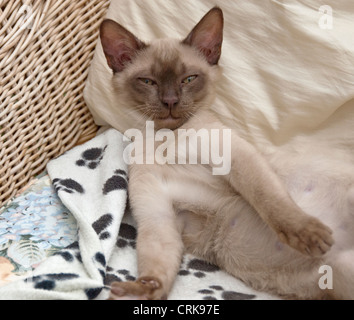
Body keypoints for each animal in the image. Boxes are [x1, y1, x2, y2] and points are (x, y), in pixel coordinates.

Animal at [99, 6, 354, 300]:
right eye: (148, 82)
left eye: (188, 79)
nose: (171, 101)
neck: (164, 138)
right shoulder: (157, 213)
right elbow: (155, 264)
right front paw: (138, 291)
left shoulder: (237, 158)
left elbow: (270, 201)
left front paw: (310, 237)